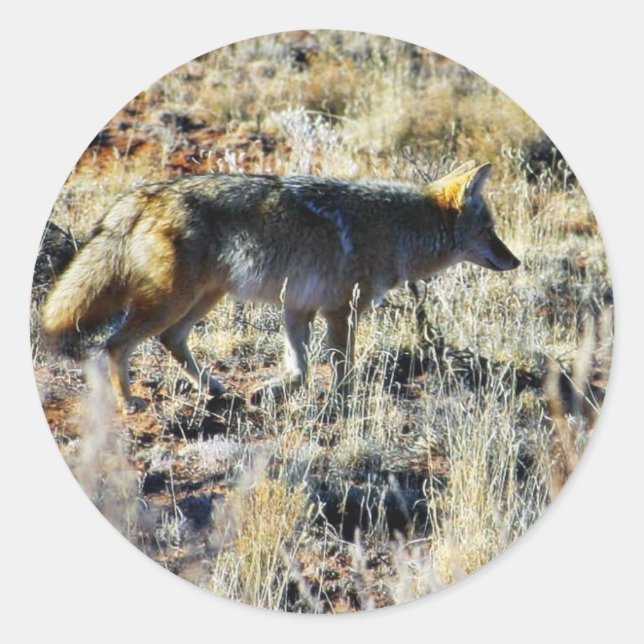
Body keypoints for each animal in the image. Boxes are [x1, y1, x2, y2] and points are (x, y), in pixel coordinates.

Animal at [40, 161, 520, 412]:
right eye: (490, 230)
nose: (516, 260)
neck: (398, 227)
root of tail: (147, 194)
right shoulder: (340, 312)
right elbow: (340, 369)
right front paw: (342, 406)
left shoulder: (298, 307)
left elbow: (301, 369)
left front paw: (270, 391)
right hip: (174, 301)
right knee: (115, 345)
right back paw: (129, 402)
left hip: (204, 298)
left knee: (169, 340)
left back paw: (213, 388)